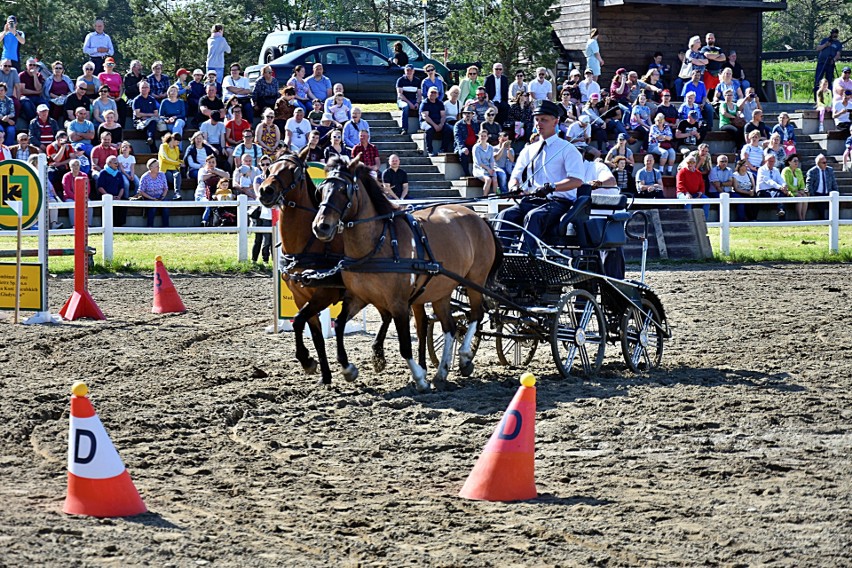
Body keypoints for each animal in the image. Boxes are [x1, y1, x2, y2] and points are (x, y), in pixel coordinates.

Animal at [255, 149, 392, 384]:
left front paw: (308, 361)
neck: (309, 244)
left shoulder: (324, 294)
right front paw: (325, 375)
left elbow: (299, 321)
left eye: (292, 170)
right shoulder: (301, 296)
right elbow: (315, 334)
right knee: (384, 315)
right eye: (268, 168)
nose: (265, 190)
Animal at [312, 158, 500, 392]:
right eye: (321, 190)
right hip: (442, 290)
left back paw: (464, 357)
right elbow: (338, 326)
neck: (378, 243)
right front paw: (348, 370)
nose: (321, 227)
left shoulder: (399, 303)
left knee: (476, 314)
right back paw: (442, 371)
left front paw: (419, 378)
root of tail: (480, 218)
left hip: (474, 281)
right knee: (450, 326)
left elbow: (404, 344)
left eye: (342, 190)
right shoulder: (359, 297)